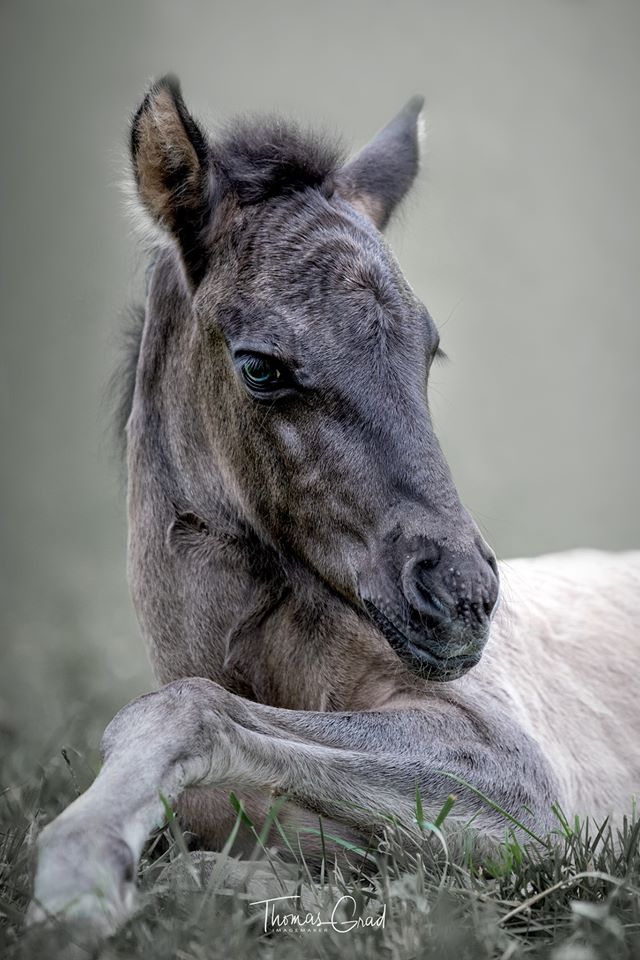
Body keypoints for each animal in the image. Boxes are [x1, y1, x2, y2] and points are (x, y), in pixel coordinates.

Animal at [30, 79, 640, 932]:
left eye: (428, 350)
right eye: (259, 366)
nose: (462, 595)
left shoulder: (523, 780)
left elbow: (184, 709)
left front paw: (78, 867)